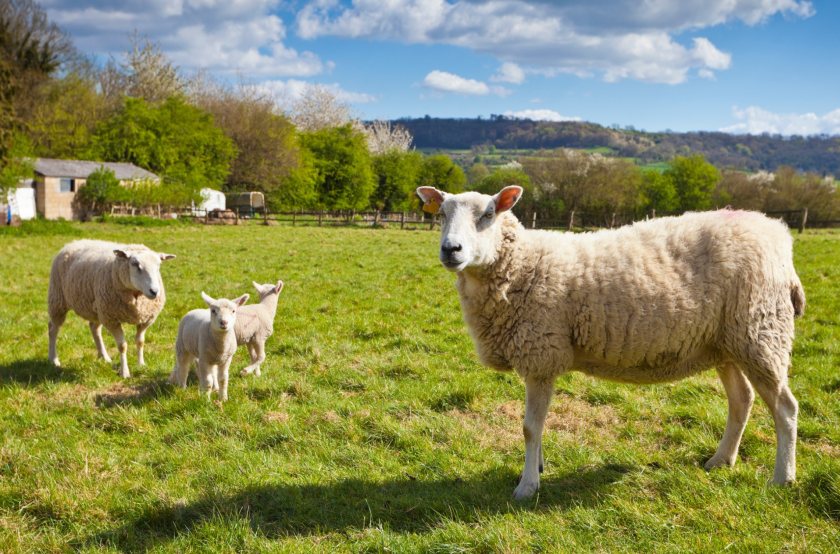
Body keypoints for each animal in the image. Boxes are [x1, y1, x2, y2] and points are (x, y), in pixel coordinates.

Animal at [48, 239, 176, 378]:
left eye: (159, 265)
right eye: (135, 264)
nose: (154, 291)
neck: (136, 295)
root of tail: (73, 242)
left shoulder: (145, 319)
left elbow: (140, 341)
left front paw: (141, 364)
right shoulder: (112, 319)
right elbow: (122, 346)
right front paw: (125, 372)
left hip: (97, 308)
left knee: (94, 329)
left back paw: (104, 357)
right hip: (58, 299)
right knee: (53, 329)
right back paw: (53, 359)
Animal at [416, 185, 805, 500]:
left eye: (487, 214)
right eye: (441, 214)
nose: (451, 249)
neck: (523, 265)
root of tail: (778, 234)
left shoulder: (542, 353)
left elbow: (529, 428)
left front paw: (527, 487)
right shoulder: (539, 359)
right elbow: (536, 426)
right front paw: (537, 468)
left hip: (760, 333)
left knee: (785, 408)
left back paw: (782, 478)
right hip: (726, 344)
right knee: (742, 400)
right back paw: (721, 459)